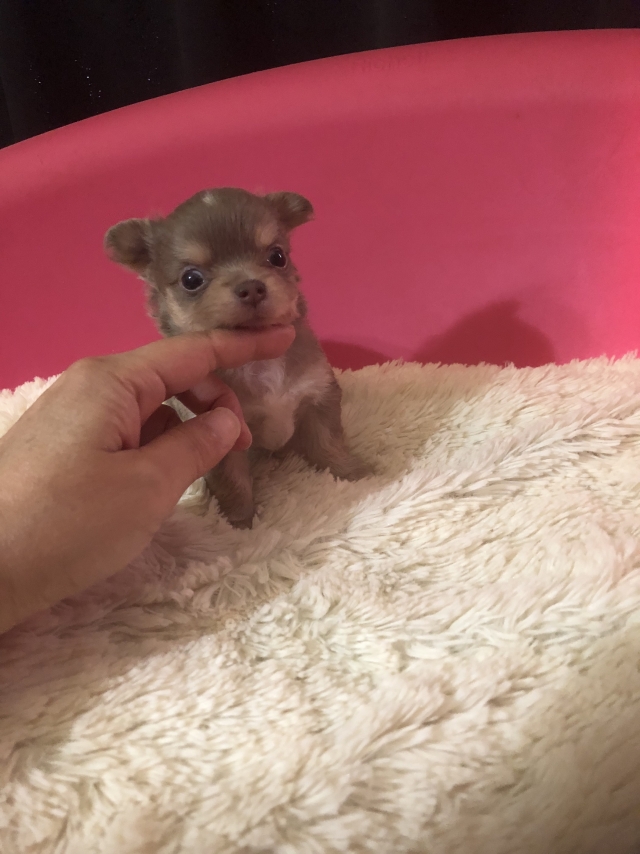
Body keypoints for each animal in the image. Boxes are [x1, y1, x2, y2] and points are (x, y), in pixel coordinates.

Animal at [105, 187, 367, 528]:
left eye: (277, 257)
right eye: (191, 279)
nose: (251, 287)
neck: (259, 361)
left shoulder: (318, 396)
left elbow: (329, 443)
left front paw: (354, 476)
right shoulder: (228, 436)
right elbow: (234, 481)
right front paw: (241, 525)